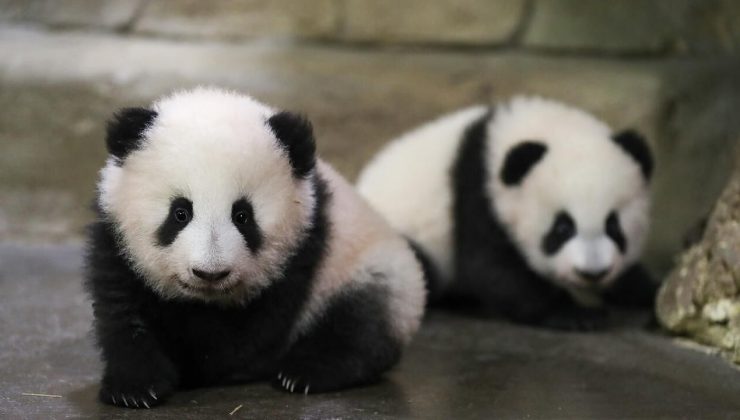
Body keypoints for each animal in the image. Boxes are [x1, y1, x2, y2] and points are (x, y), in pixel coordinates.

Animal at [85, 87, 425, 408]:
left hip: (366, 268)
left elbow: (245, 336)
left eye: (243, 215)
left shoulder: (302, 250)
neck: (205, 300)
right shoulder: (115, 243)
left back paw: (305, 371)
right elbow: (123, 312)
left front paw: (198, 365)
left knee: (360, 322)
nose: (210, 273)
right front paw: (134, 388)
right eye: (180, 212)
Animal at [356, 96, 656, 330]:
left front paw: (645, 291)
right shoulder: (477, 194)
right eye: (562, 228)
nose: (592, 272)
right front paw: (577, 314)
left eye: (614, 226)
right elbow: (493, 269)